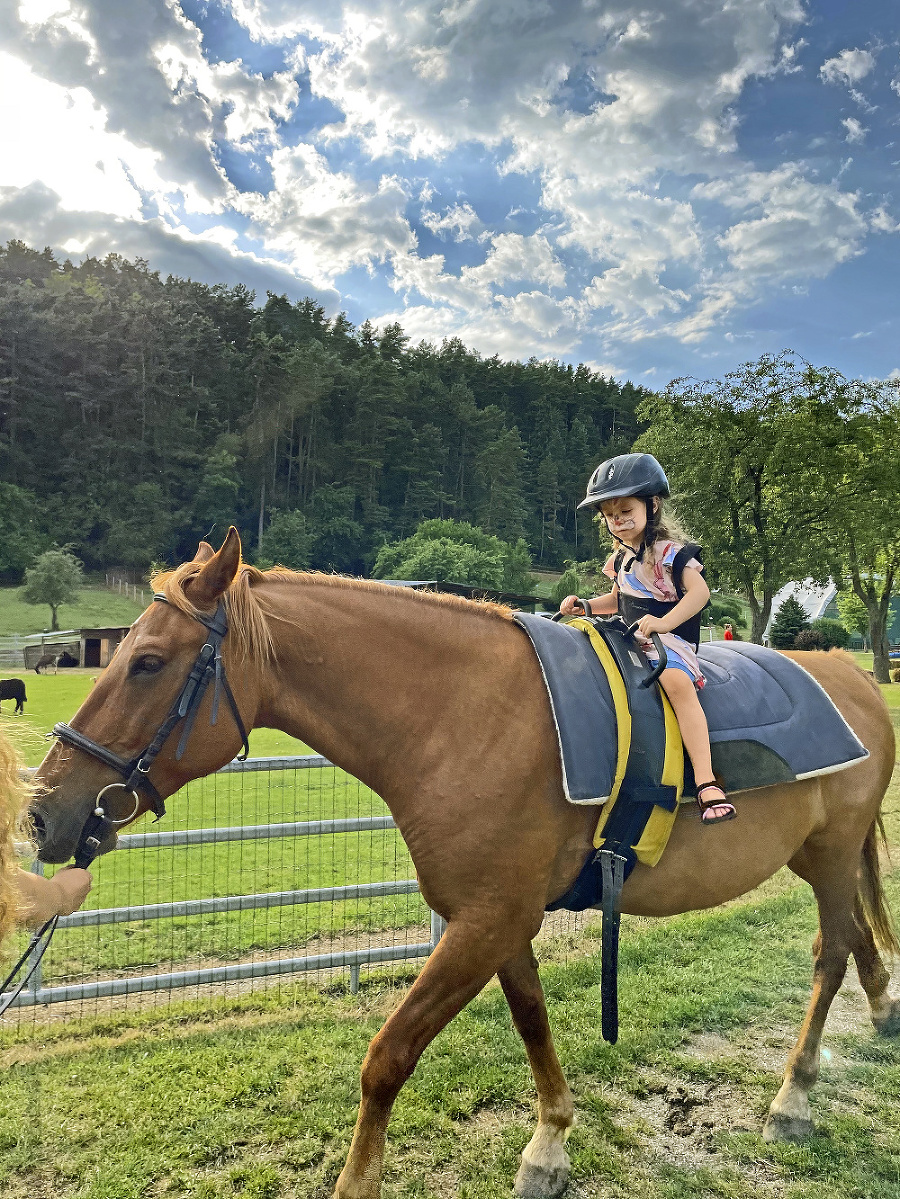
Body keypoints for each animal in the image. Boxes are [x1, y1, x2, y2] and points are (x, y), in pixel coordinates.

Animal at [29, 532, 900, 1199]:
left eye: (147, 661)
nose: (41, 812)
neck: (465, 716)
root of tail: (852, 674)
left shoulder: (483, 922)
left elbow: (387, 1057)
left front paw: (358, 1182)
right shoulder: (498, 919)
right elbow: (532, 1019)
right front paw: (549, 1144)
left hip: (828, 858)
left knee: (829, 952)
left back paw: (793, 1098)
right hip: (817, 860)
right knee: (859, 937)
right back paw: (881, 1012)